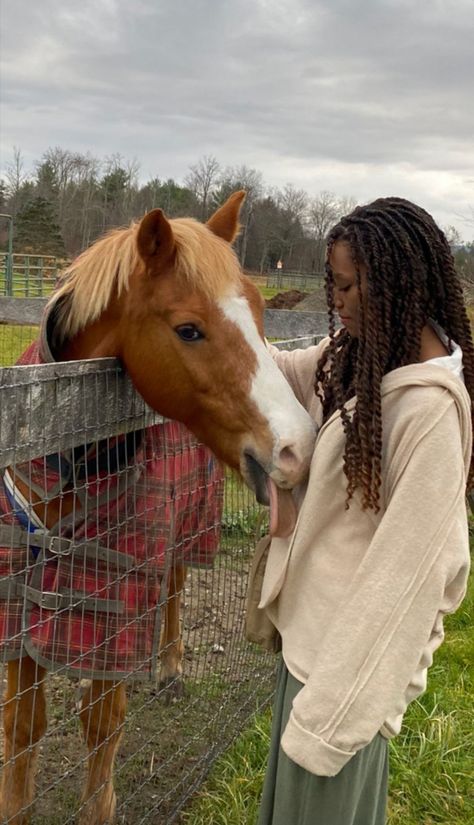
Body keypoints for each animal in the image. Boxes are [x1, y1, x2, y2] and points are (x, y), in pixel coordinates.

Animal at [0, 188, 318, 824]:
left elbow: (102, 724)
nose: (297, 445)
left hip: (184, 532)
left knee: (173, 586)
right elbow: (22, 729)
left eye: (261, 316)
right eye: (189, 330)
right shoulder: (21, 609)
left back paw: (169, 666)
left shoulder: (116, 614)